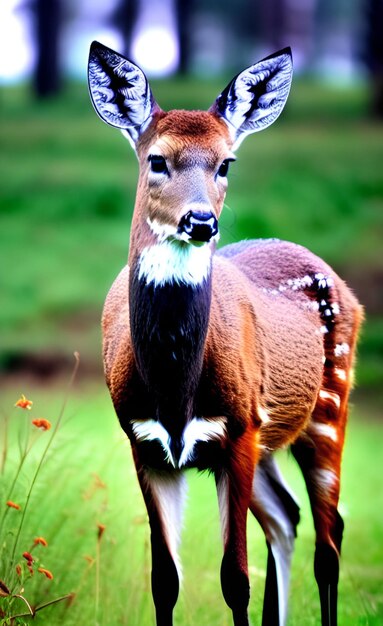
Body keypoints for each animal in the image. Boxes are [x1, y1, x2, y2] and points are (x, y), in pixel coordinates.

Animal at [88, 42, 364, 624]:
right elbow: (164, 582)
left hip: (328, 406)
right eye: (157, 159)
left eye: (225, 163)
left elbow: (234, 580)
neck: (174, 390)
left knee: (329, 538)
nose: (200, 221)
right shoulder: (144, 441)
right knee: (287, 517)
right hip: (268, 438)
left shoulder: (236, 430)